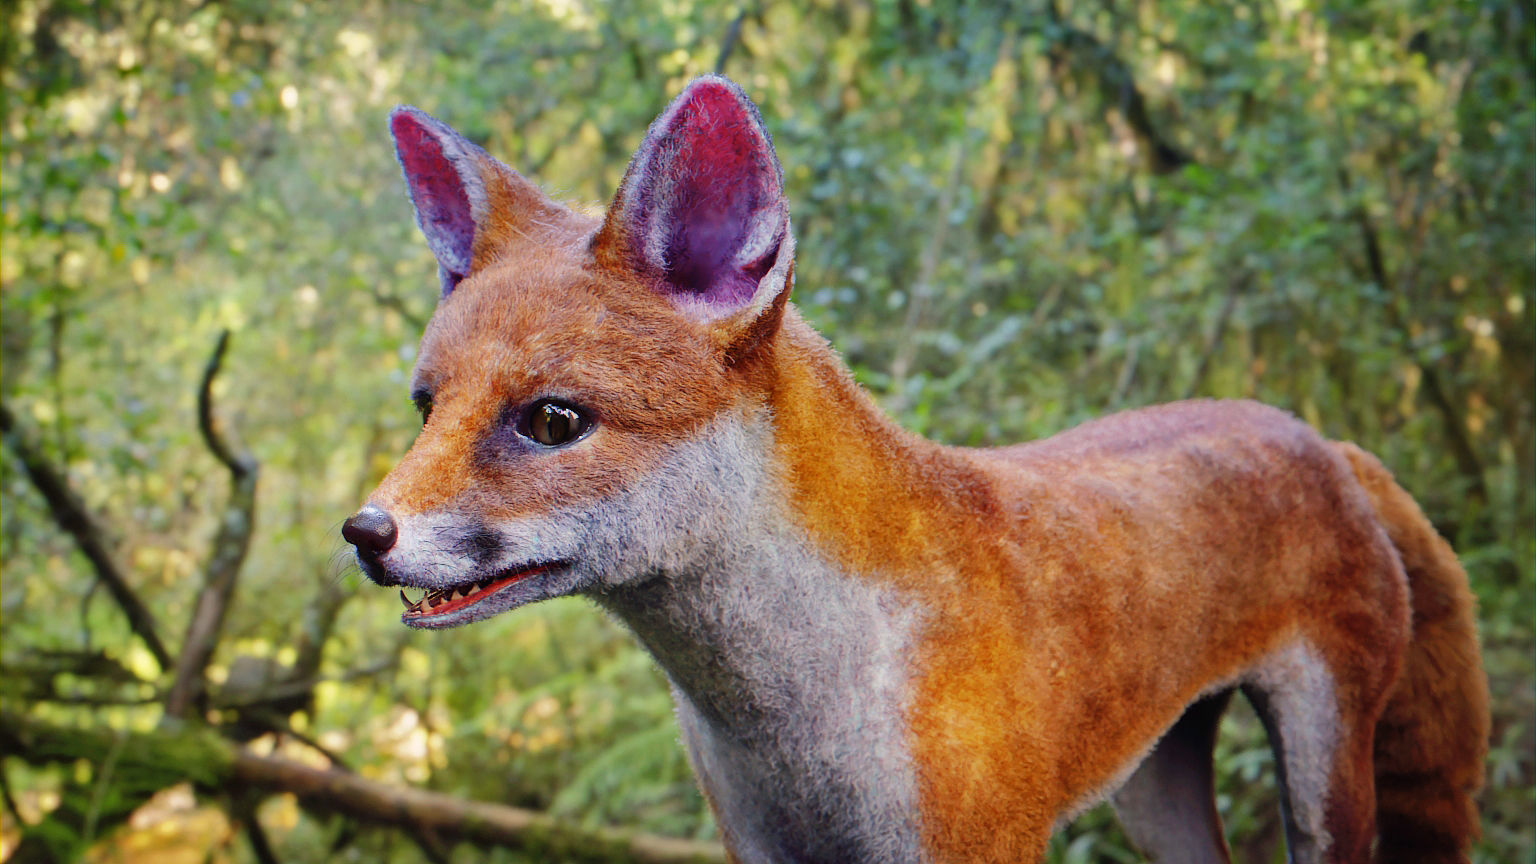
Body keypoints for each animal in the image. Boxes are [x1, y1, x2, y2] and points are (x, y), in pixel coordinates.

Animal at [342, 76, 1489, 863]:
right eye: (426, 407)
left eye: (551, 421)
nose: (364, 534)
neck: (793, 729)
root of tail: (1319, 437)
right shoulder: (762, 849)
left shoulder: (977, 844)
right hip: (1151, 792)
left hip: (1327, 776)